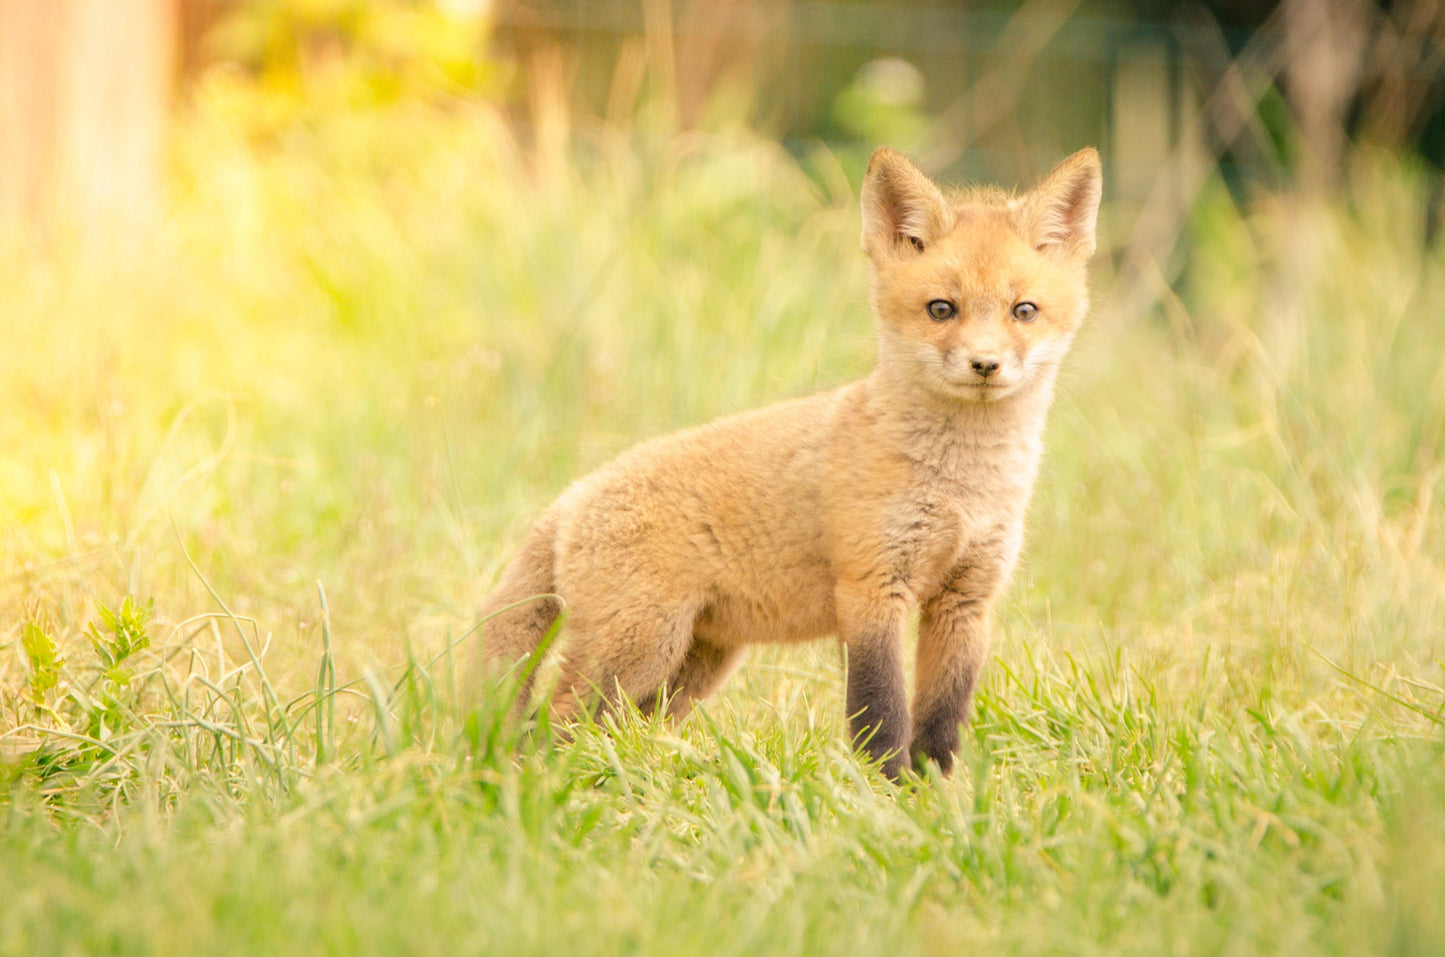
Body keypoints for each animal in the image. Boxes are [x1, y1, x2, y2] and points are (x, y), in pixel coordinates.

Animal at [479, 148, 1098, 780]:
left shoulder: (966, 601)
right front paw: (884, 789)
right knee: (546, 724)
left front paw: (935, 791)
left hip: (690, 668)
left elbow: (941, 718)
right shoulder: (871, 588)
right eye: (941, 309)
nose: (985, 364)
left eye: (1024, 310)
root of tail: (573, 493)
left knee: (604, 729)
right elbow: (881, 710)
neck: (962, 487)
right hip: (637, 650)